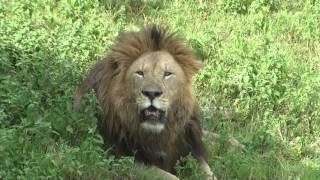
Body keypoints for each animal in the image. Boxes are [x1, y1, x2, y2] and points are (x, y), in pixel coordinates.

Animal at [74, 25, 225, 180]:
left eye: (167, 74)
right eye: (140, 73)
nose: (152, 93)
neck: (160, 135)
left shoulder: (191, 149)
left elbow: (209, 173)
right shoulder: (123, 159)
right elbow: (172, 177)